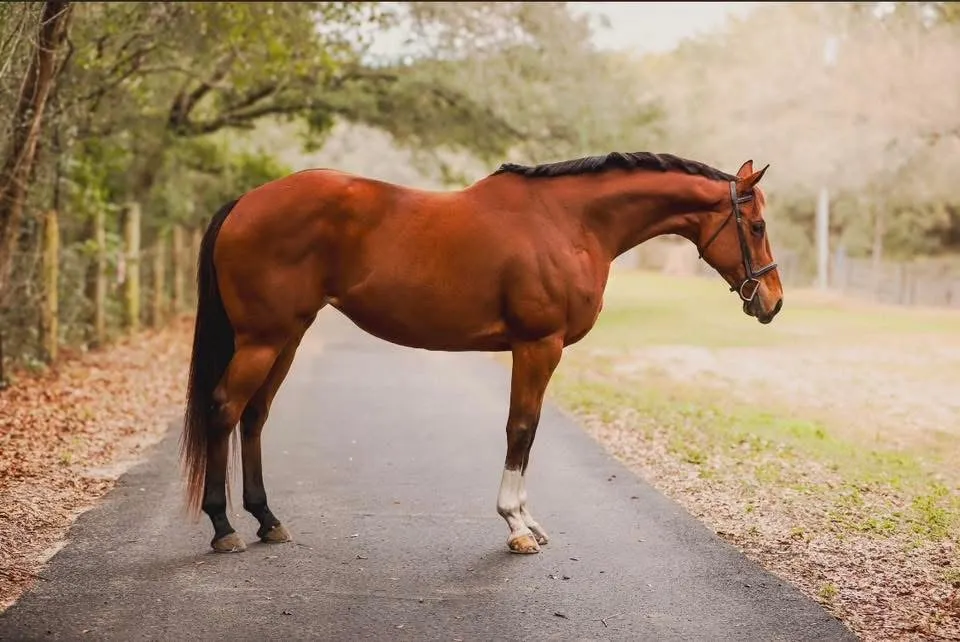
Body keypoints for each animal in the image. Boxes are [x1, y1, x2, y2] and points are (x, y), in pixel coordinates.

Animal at [180, 152, 783, 555]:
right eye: (756, 225)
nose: (773, 302)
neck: (570, 223)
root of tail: (246, 202)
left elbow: (527, 432)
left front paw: (527, 521)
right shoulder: (537, 346)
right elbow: (521, 428)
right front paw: (516, 526)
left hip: (287, 336)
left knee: (254, 416)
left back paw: (266, 519)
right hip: (263, 338)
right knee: (224, 410)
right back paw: (224, 527)